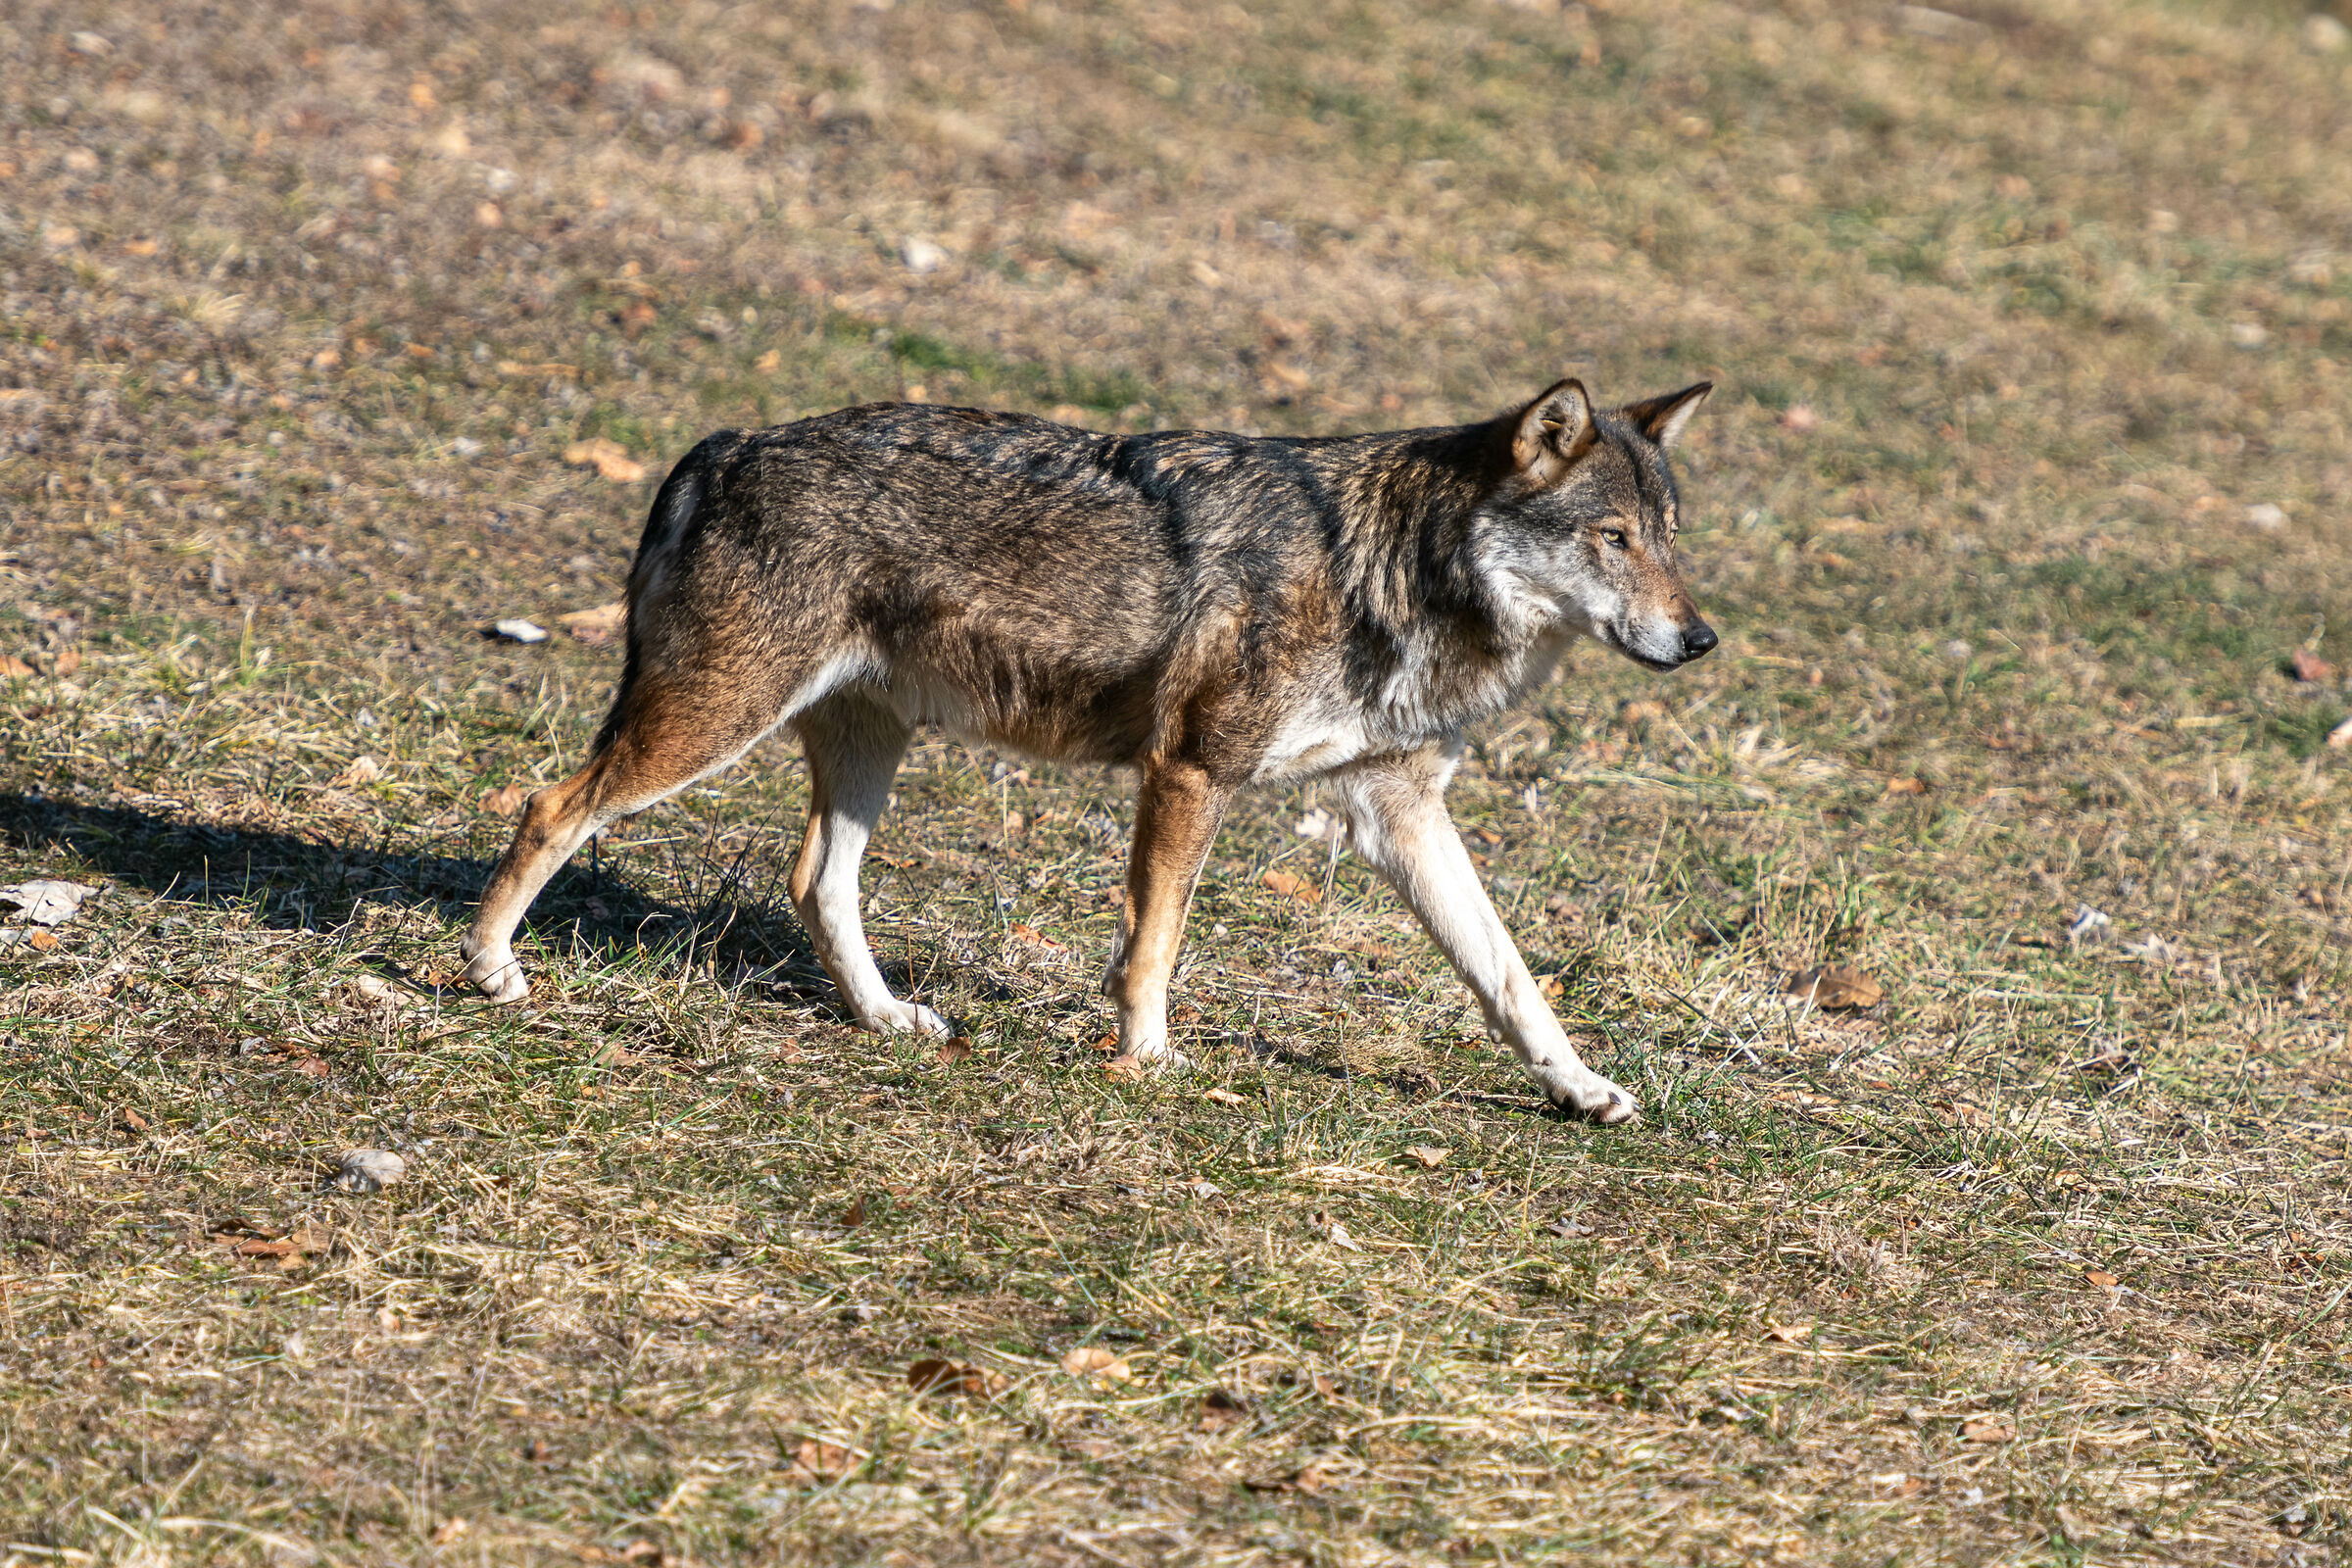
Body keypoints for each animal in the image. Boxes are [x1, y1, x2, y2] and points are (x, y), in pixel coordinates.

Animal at [462, 377, 1717, 1123]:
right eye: (1612, 539)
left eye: (1670, 541)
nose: (1700, 638)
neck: (1393, 571)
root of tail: (723, 442)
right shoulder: (1193, 770)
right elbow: (1154, 945)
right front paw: (1146, 1060)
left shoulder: (1394, 812)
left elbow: (1510, 974)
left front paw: (1581, 1085)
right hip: (710, 726)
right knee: (547, 805)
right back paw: (489, 971)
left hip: (864, 747)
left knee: (816, 881)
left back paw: (887, 1021)